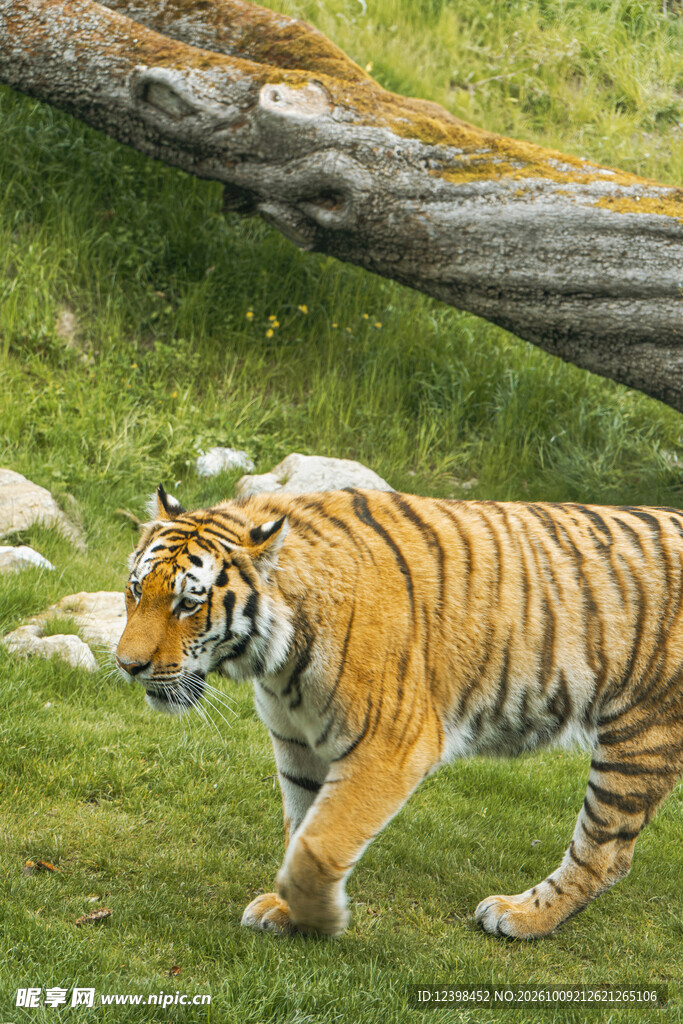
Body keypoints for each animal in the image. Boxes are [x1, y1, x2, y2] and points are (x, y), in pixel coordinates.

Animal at [115, 484, 683, 939]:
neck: (279, 659)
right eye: (136, 590)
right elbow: (300, 831)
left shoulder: (392, 745)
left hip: (639, 736)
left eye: (188, 605)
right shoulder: (296, 741)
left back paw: (521, 917)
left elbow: (318, 845)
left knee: (605, 854)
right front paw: (287, 910)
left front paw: (321, 920)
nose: (127, 665)